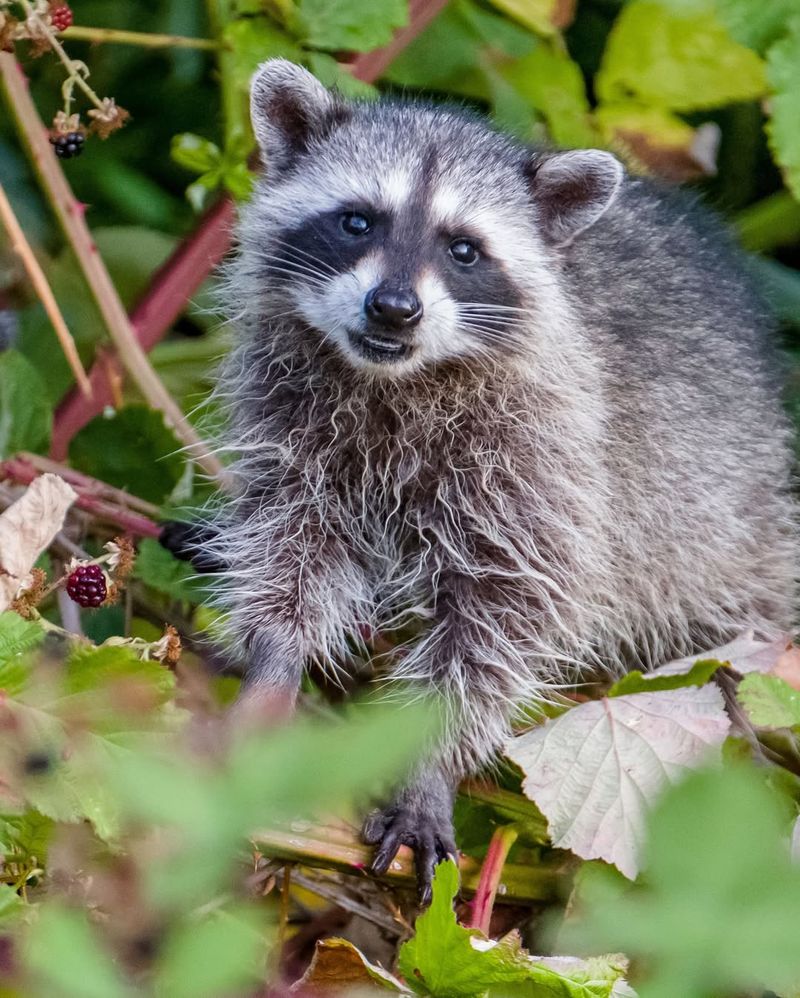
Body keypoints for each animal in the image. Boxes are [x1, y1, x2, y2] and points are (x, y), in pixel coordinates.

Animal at [177, 59, 797, 901]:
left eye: (464, 250)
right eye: (357, 221)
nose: (395, 308)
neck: (394, 379)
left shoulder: (545, 459)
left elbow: (502, 621)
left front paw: (430, 762)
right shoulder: (291, 422)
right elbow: (291, 546)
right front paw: (274, 663)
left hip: (727, 527)